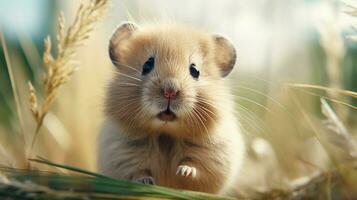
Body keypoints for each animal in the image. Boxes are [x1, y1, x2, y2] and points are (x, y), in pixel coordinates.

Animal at [98, 21, 246, 194]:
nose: (170, 91)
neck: (166, 134)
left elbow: (195, 167)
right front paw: (146, 182)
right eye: (147, 65)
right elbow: (138, 171)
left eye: (195, 70)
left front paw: (183, 171)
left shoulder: (213, 157)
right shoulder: (123, 153)